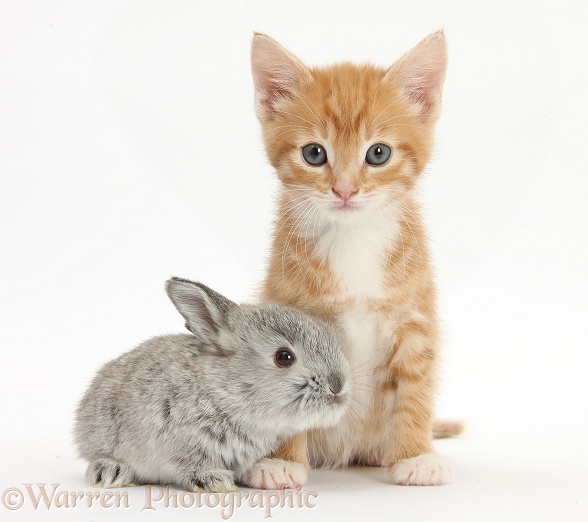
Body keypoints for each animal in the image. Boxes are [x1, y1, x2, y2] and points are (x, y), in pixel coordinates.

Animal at [73, 278, 350, 490]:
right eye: (284, 357)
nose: (338, 386)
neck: (223, 394)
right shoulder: (178, 446)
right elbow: (188, 465)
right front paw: (215, 481)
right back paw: (110, 472)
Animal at [246, 30, 462, 486]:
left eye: (378, 154)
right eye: (314, 154)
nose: (344, 190)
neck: (352, 238)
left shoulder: (414, 317)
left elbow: (416, 387)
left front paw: (416, 455)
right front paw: (282, 462)